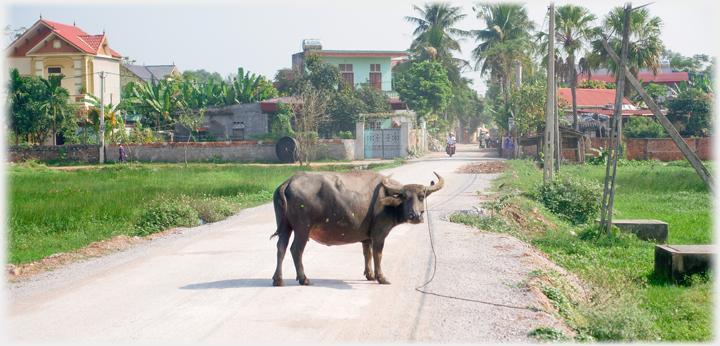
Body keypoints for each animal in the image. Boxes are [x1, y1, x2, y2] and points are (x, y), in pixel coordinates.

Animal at [270, 170, 442, 286]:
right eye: (405, 197)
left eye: (421, 197)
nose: (416, 216)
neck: (387, 199)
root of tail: (289, 181)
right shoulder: (379, 233)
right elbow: (378, 254)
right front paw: (381, 277)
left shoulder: (367, 237)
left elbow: (367, 253)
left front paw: (370, 275)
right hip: (302, 229)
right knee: (296, 249)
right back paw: (304, 279)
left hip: (285, 226)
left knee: (281, 247)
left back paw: (278, 279)